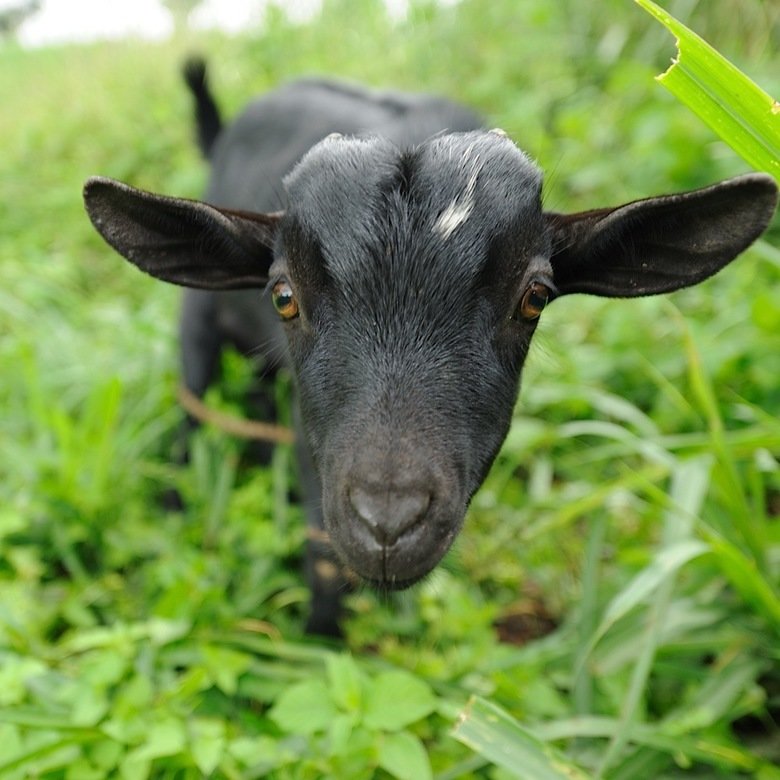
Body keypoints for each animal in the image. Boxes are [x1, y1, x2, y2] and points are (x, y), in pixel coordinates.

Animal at [83, 60, 778, 637]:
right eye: (284, 296)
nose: (389, 525)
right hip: (196, 322)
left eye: (534, 297)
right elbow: (321, 546)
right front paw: (319, 640)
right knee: (192, 404)